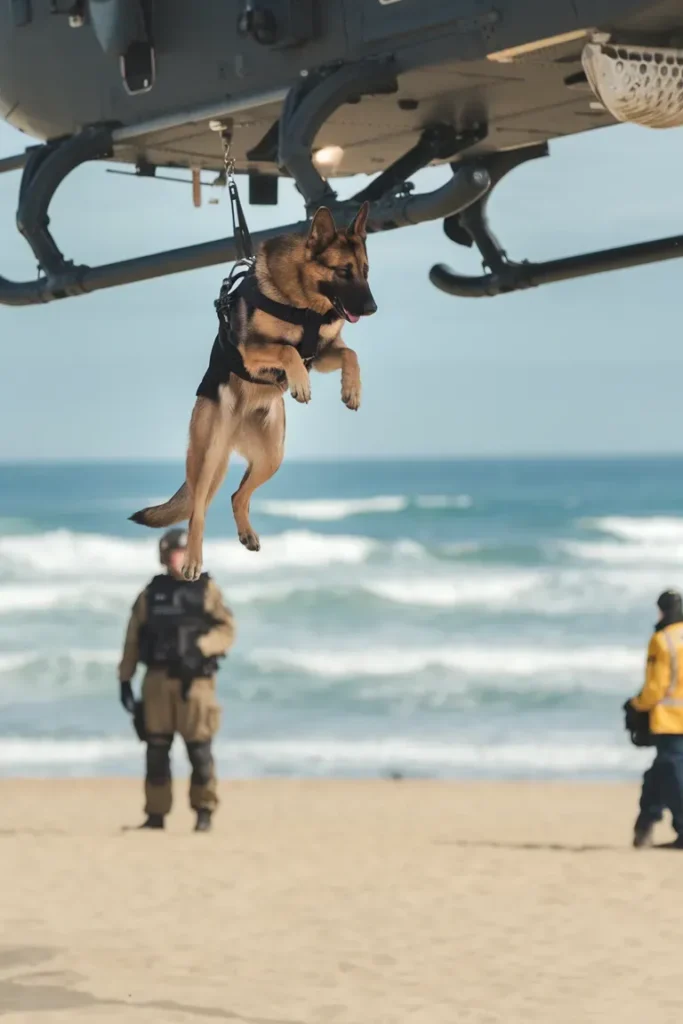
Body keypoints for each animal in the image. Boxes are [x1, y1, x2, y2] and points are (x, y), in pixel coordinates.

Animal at [131, 203, 376, 581]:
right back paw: (192, 560)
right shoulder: (252, 350)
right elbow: (287, 351)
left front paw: (352, 390)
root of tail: (234, 431)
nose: (372, 308)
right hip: (208, 458)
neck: (303, 301)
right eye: (343, 271)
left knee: (236, 495)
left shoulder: (322, 354)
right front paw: (300, 383)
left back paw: (246, 533)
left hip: (271, 456)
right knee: (197, 511)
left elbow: (350, 353)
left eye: (365, 271)